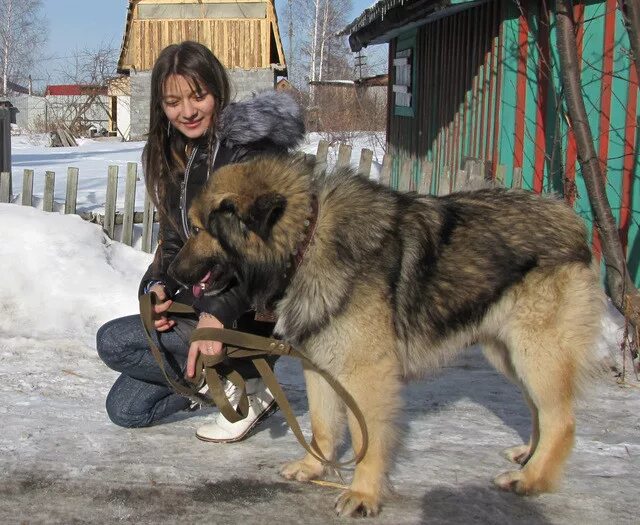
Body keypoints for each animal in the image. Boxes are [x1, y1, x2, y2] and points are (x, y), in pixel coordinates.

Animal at [169, 155, 604, 516]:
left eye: (199, 228)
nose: (172, 275)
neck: (307, 239)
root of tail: (570, 221)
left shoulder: (367, 375)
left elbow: (370, 439)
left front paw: (363, 494)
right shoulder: (320, 365)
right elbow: (323, 426)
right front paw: (313, 467)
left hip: (535, 352)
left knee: (561, 420)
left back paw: (531, 479)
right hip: (509, 352)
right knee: (539, 410)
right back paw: (528, 456)